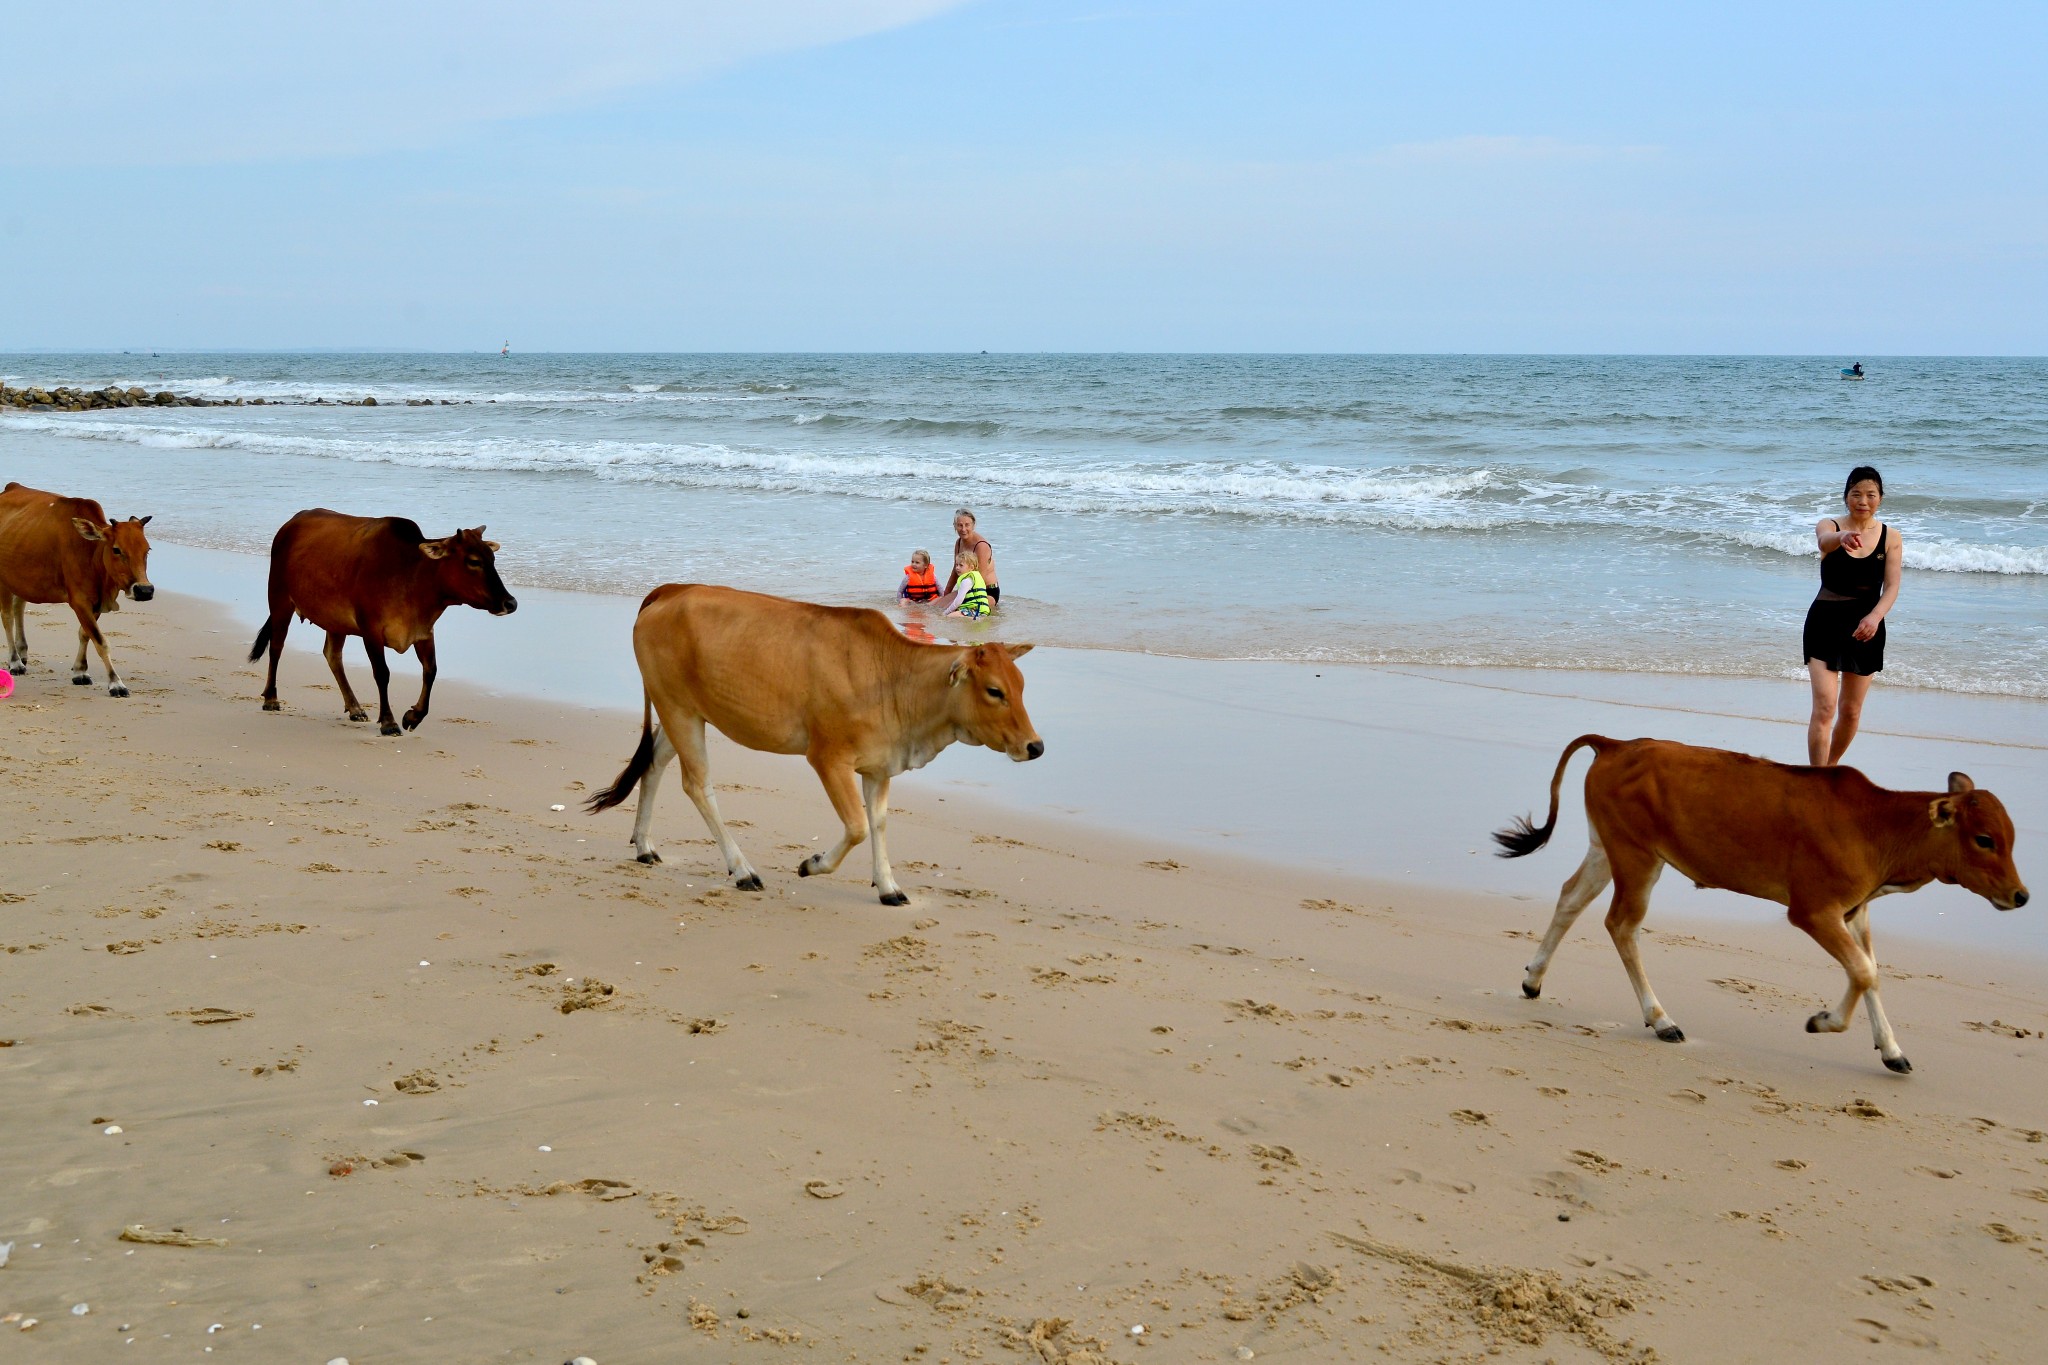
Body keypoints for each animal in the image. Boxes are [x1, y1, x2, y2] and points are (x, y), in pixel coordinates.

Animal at [0, 480, 153, 695]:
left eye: (147, 550)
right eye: (117, 549)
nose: (144, 590)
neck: (91, 553)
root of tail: (11, 487)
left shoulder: (95, 603)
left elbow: (84, 634)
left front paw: (80, 671)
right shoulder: (79, 601)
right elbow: (100, 641)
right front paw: (116, 683)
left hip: (21, 578)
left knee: (18, 607)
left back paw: (22, 654)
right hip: (4, 580)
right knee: (7, 617)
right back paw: (15, 661)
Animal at [249, 507, 520, 732]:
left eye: (492, 559)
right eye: (473, 561)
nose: (511, 603)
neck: (411, 574)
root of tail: (291, 523)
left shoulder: (424, 632)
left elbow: (431, 671)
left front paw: (413, 716)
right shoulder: (371, 631)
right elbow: (382, 673)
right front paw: (389, 722)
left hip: (335, 622)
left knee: (333, 656)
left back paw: (355, 708)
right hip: (280, 600)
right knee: (277, 647)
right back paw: (271, 698)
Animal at [589, 585, 1040, 908]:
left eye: (1021, 685)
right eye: (994, 690)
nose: (1035, 747)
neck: (894, 679)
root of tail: (670, 590)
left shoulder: (879, 767)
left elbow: (878, 823)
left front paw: (888, 886)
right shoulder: (828, 757)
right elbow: (857, 826)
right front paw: (813, 864)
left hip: (682, 712)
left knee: (654, 762)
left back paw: (645, 846)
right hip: (678, 709)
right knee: (697, 785)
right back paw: (742, 870)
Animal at [1499, 736, 2023, 1080]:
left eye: (2010, 836)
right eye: (1984, 839)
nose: (2021, 895)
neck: (1875, 826)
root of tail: (1616, 743)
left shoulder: (1855, 912)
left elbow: (1871, 972)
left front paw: (1891, 1050)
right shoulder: (1812, 910)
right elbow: (1863, 972)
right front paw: (1823, 1022)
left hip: (1607, 850)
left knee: (1570, 898)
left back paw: (1533, 979)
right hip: (1637, 858)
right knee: (1621, 925)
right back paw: (1662, 1019)